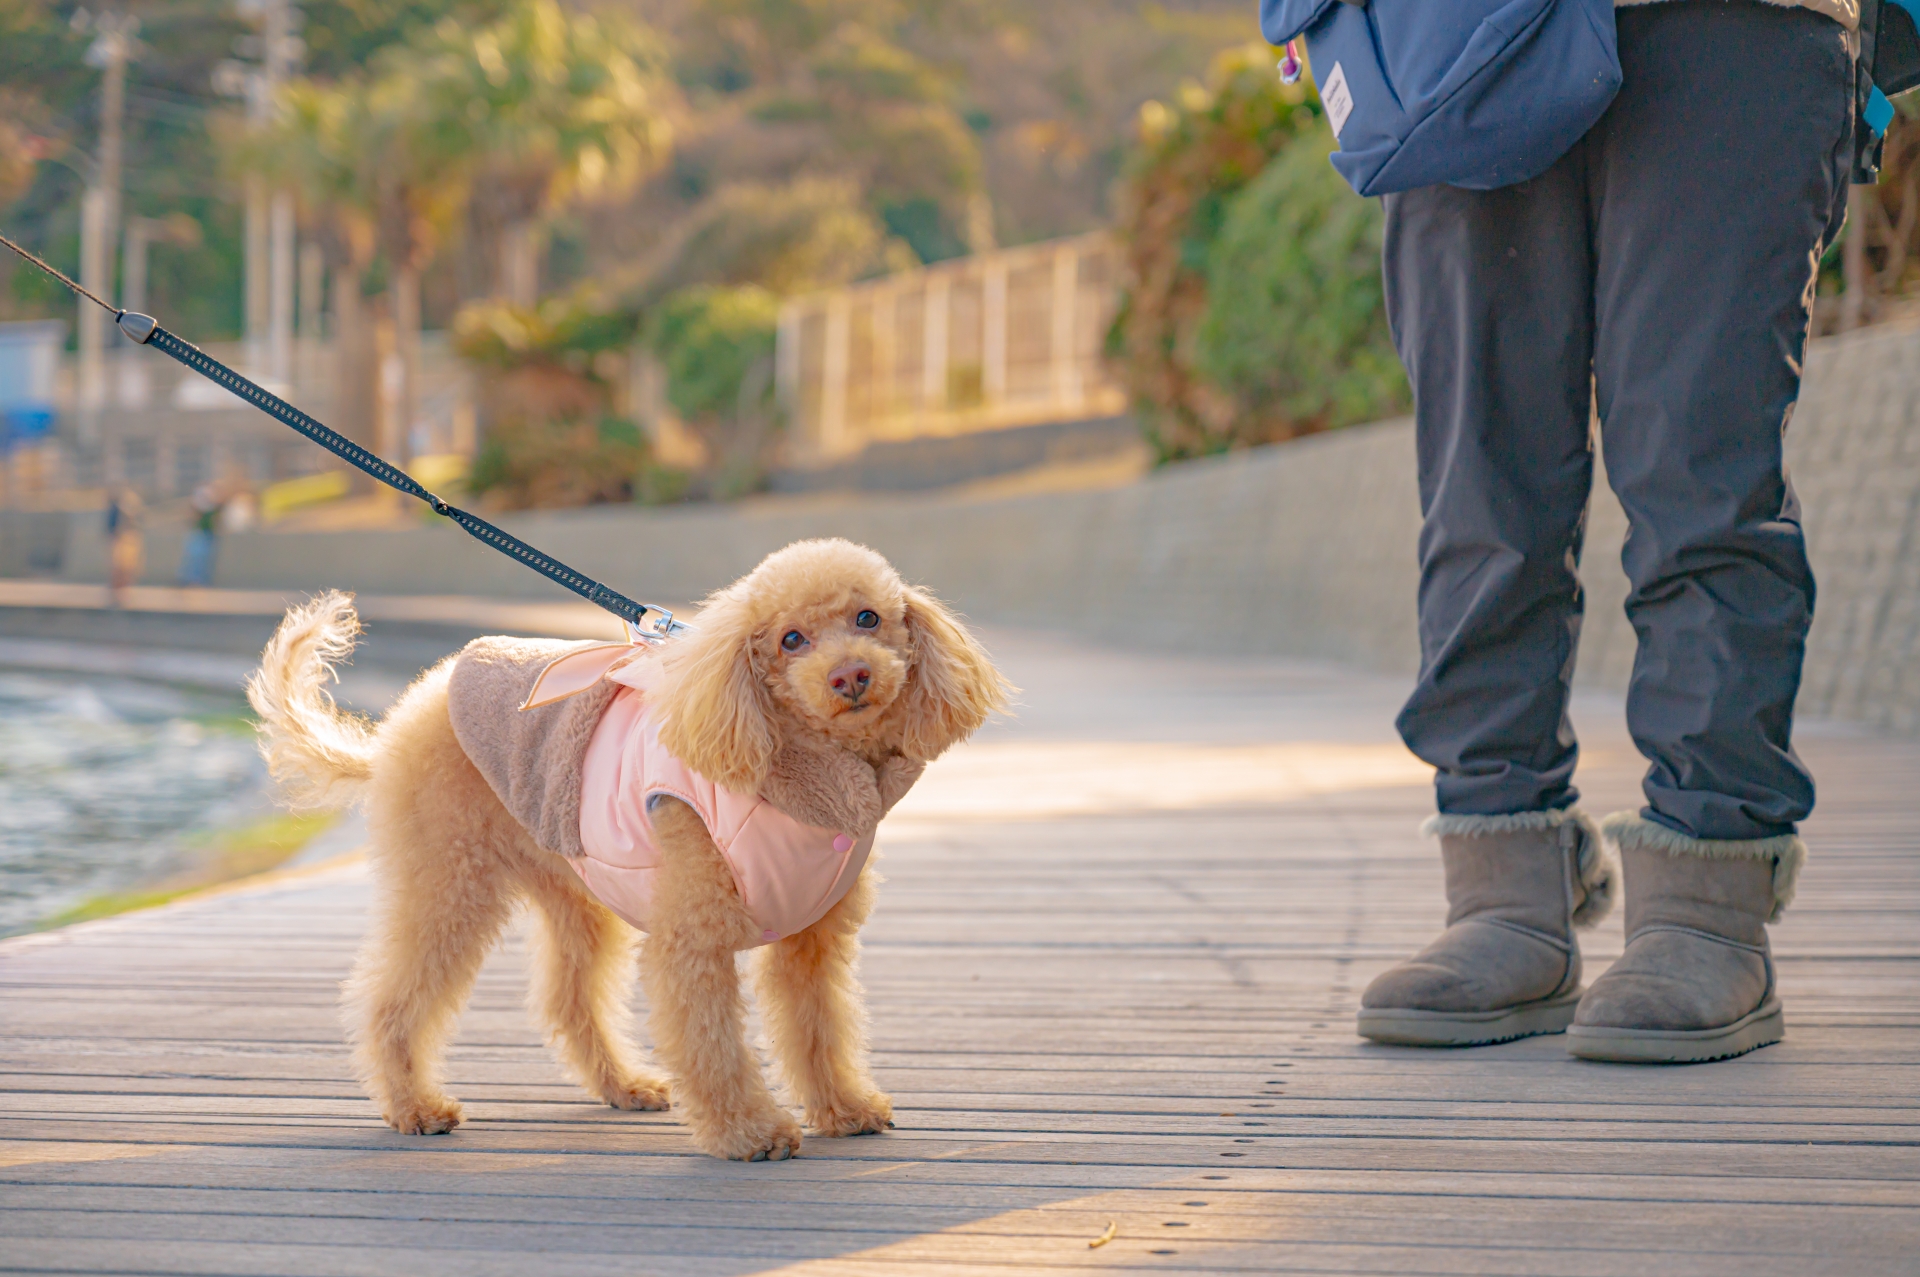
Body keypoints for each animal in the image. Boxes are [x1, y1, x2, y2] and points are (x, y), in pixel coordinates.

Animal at [247, 533, 1013, 1152]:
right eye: (790, 639)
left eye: (868, 618)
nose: (850, 675)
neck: (795, 769)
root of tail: (400, 722)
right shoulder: (693, 938)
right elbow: (712, 1041)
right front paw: (749, 1133)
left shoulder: (812, 942)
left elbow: (818, 1028)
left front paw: (844, 1109)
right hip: (449, 879)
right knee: (394, 997)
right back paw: (414, 1106)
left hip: (576, 890)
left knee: (568, 999)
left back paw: (623, 1085)